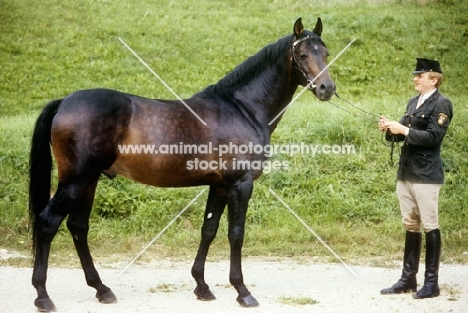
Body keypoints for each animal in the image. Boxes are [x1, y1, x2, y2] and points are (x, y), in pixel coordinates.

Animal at [29, 17, 334, 310]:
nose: (327, 88)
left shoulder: (219, 186)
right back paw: (43, 295)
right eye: (303, 54)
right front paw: (242, 291)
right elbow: (236, 234)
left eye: (326, 53)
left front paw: (202, 286)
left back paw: (101, 289)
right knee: (47, 223)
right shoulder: (240, 185)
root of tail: (64, 102)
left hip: (88, 181)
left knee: (78, 227)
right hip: (75, 181)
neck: (242, 110)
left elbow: (208, 230)